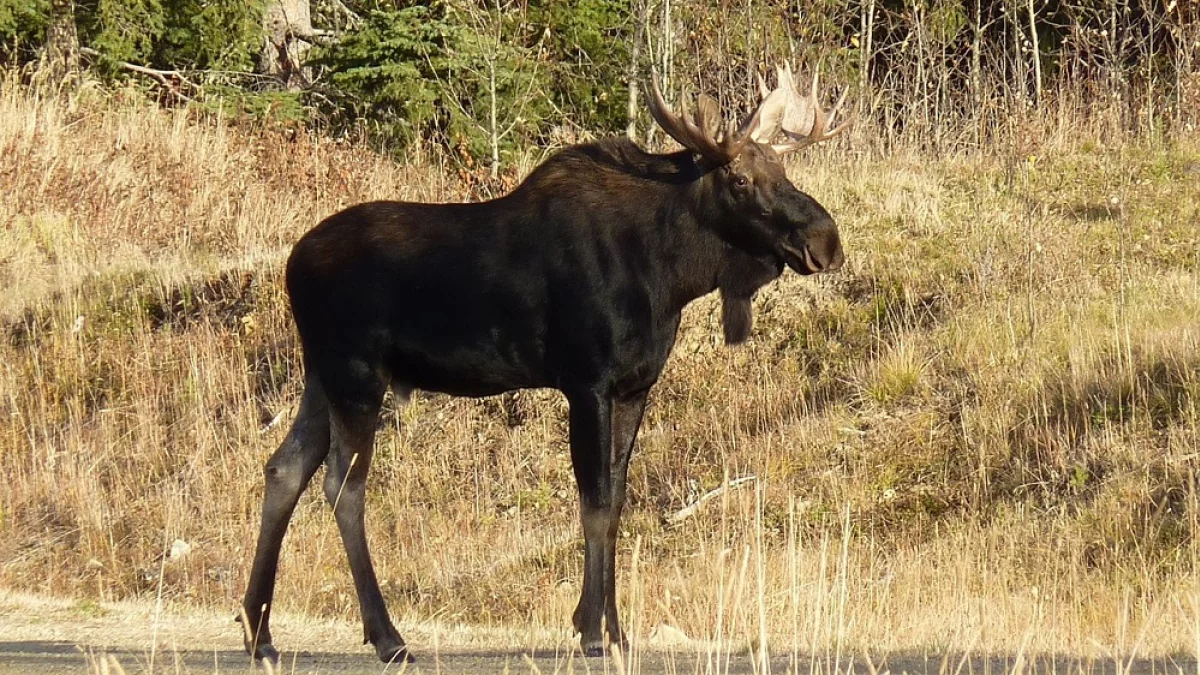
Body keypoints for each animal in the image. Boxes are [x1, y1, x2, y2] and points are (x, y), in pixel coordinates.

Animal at [236, 63, 854, 662]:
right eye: (740, 180)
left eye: (783, 168)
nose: (826, 240)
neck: (670, 273)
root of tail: (291, 264)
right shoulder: (586, 381)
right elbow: (595, 501)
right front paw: (592, 631)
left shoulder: (634, 386)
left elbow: (618, 499)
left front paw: (614, 628)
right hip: (356, 373)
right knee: (343, 484)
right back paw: (386, 636)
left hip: (320, 376)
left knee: (284, 468)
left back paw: (260, 632)